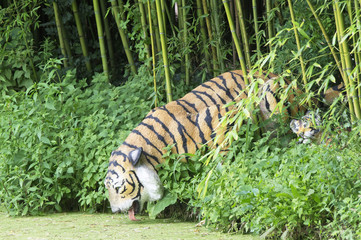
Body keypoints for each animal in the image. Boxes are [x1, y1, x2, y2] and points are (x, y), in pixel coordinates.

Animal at [102, 70, 342, 221]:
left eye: (119, 188)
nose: (114, 210)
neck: (153, 154)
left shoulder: (227, 117)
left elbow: (223, 155)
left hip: (273, 98)